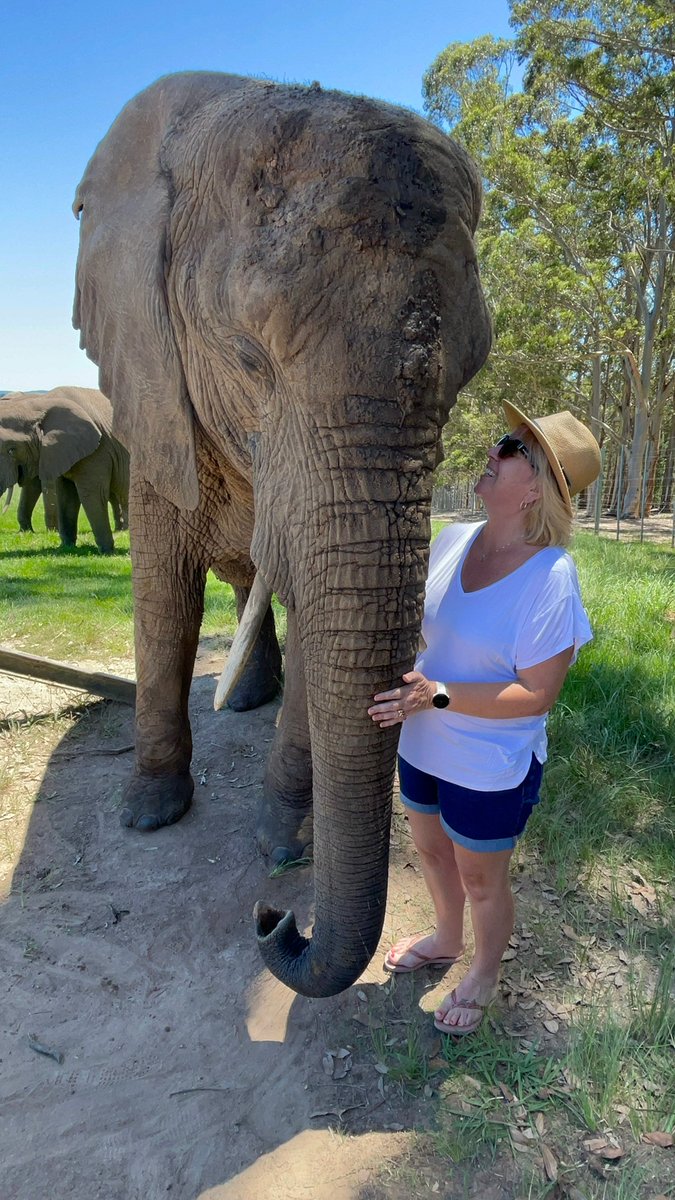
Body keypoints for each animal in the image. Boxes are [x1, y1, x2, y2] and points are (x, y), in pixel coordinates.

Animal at [0, 387, 130, 554]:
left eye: (12, 450)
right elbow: (65, 495)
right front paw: (66, 547)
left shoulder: (98, 452)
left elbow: (92, 494)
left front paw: (107, 551)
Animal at [73, 71, 491, 997]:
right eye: (247, 358)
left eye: (472, 371)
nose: (275, 921)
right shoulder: (153, 387)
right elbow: (162, 598)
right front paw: (148, 816)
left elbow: (314, 606)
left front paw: (278, 841)